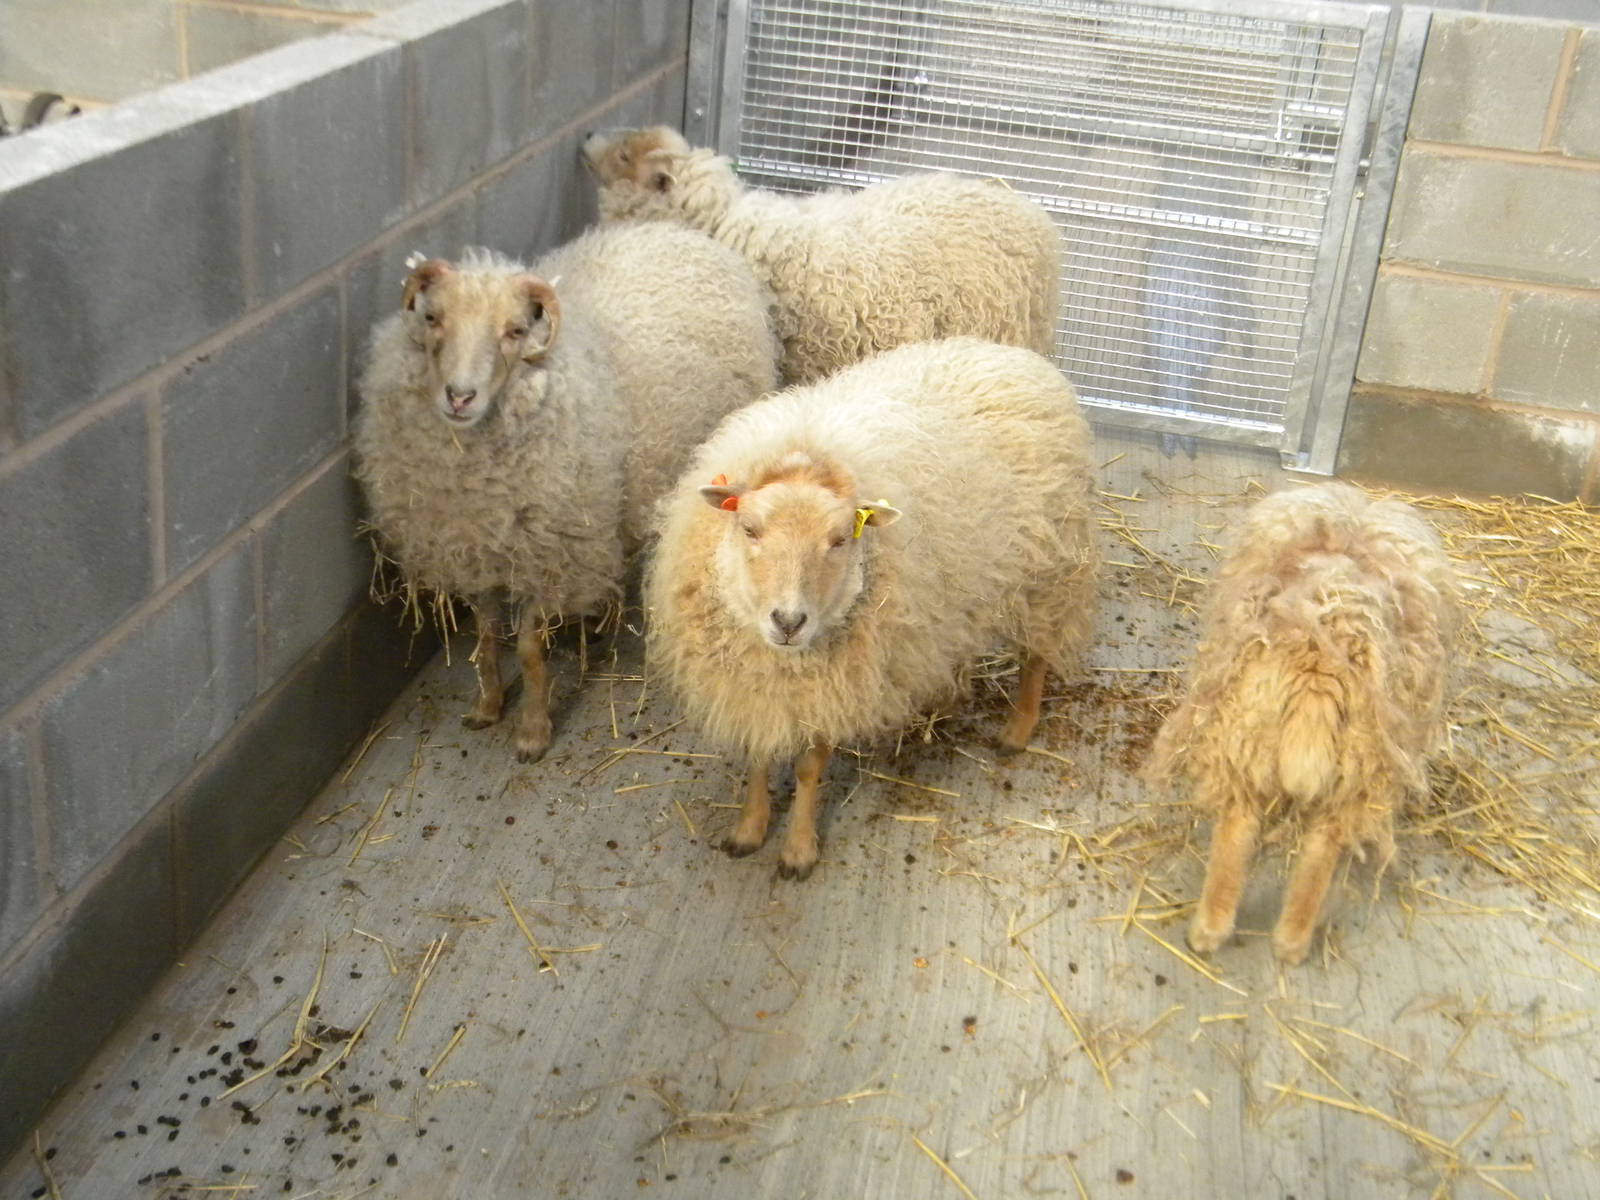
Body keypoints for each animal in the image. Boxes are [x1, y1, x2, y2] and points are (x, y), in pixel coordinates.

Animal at [354, 224, 779, 762]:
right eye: (432, 319)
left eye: (515, 331)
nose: (460, 397)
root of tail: (671, 229)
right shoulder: (474, 549)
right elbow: (487, 634)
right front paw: (487, 705)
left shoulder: (553, 554)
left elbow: (529, 650)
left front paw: (533, 731)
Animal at [646, 337, 1099, 879]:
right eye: (749, 529)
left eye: (840, 539)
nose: (789, 622)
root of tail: (1016, 356)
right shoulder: (755, 687)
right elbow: (758, 755)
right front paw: (750, 828)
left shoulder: (839, 678)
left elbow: (809, 767)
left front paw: (798, 849)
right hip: (968, 579)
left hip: (1051, 568)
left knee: (1037, 652)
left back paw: (1018, 728)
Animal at [1145, 483, 1458, 965]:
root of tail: (1320, 663)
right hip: (1352, 761)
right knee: (1317, 845)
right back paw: (1285, 939)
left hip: (1254, 734)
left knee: (1242, 828)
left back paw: (1221, 932)